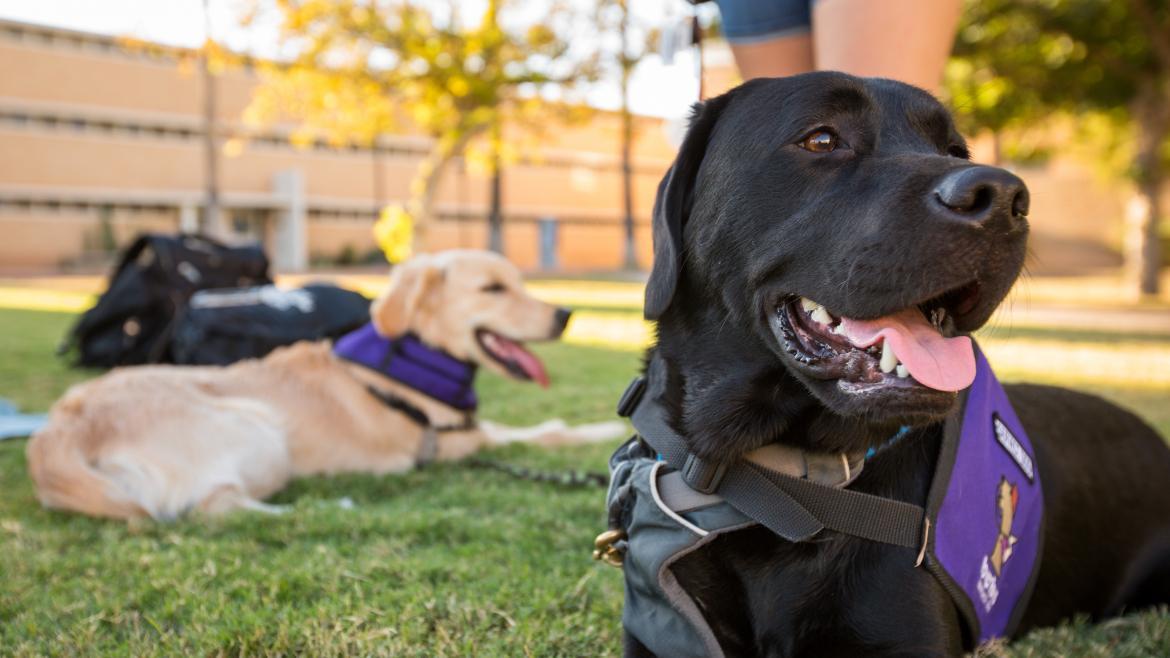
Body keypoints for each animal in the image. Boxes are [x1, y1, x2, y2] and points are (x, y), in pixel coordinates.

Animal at [27, 249, 624, 521]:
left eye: (519, 282)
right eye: (494, 288)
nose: (567, 314)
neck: (414, 353)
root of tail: (60, 428)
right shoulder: (461, 441)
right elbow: (550, 431)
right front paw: (596, 430)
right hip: (259, 431)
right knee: (213, 505)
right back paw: (327, 506)